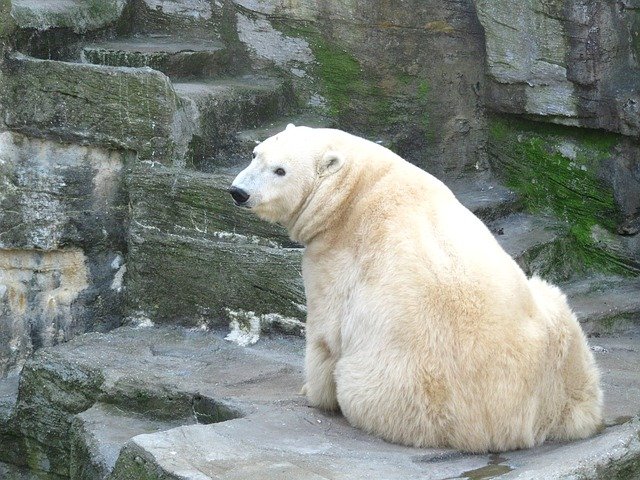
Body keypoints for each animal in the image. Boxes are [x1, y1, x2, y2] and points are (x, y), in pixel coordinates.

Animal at [229, 125, 602, 453]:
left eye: (280, 170)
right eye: (255, 154)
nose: (239, 192)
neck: (355, 187)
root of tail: (504, 425)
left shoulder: (335, 254)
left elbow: (325, 335)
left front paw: (310, 391)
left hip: (399, 391)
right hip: (561, 350)